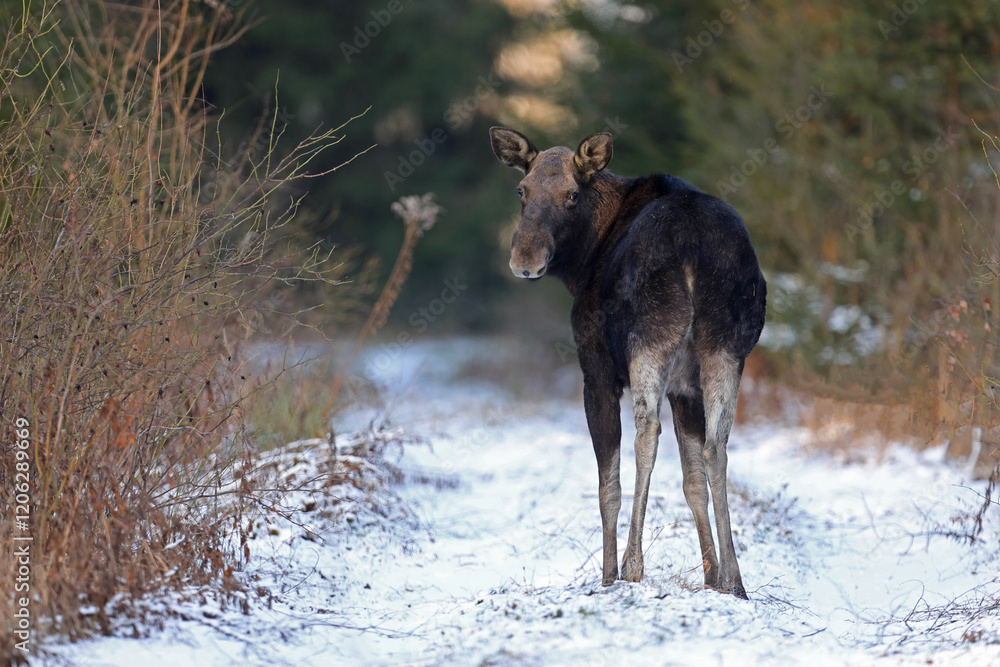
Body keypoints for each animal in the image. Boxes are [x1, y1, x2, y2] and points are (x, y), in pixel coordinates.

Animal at [489, 127, 766, 599]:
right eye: (521, 190)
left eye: (572, 195)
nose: (525, 260)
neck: (582, 264)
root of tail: (693, 247)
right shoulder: (685, 386)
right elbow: (693, 479)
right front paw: (713, 577)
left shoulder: (596, 370)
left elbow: (608, 485)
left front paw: (607, 576)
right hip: (725, 347)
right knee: (717, 444)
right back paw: (736, 580)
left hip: (647, 341)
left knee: (646, 433)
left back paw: (633, 564)